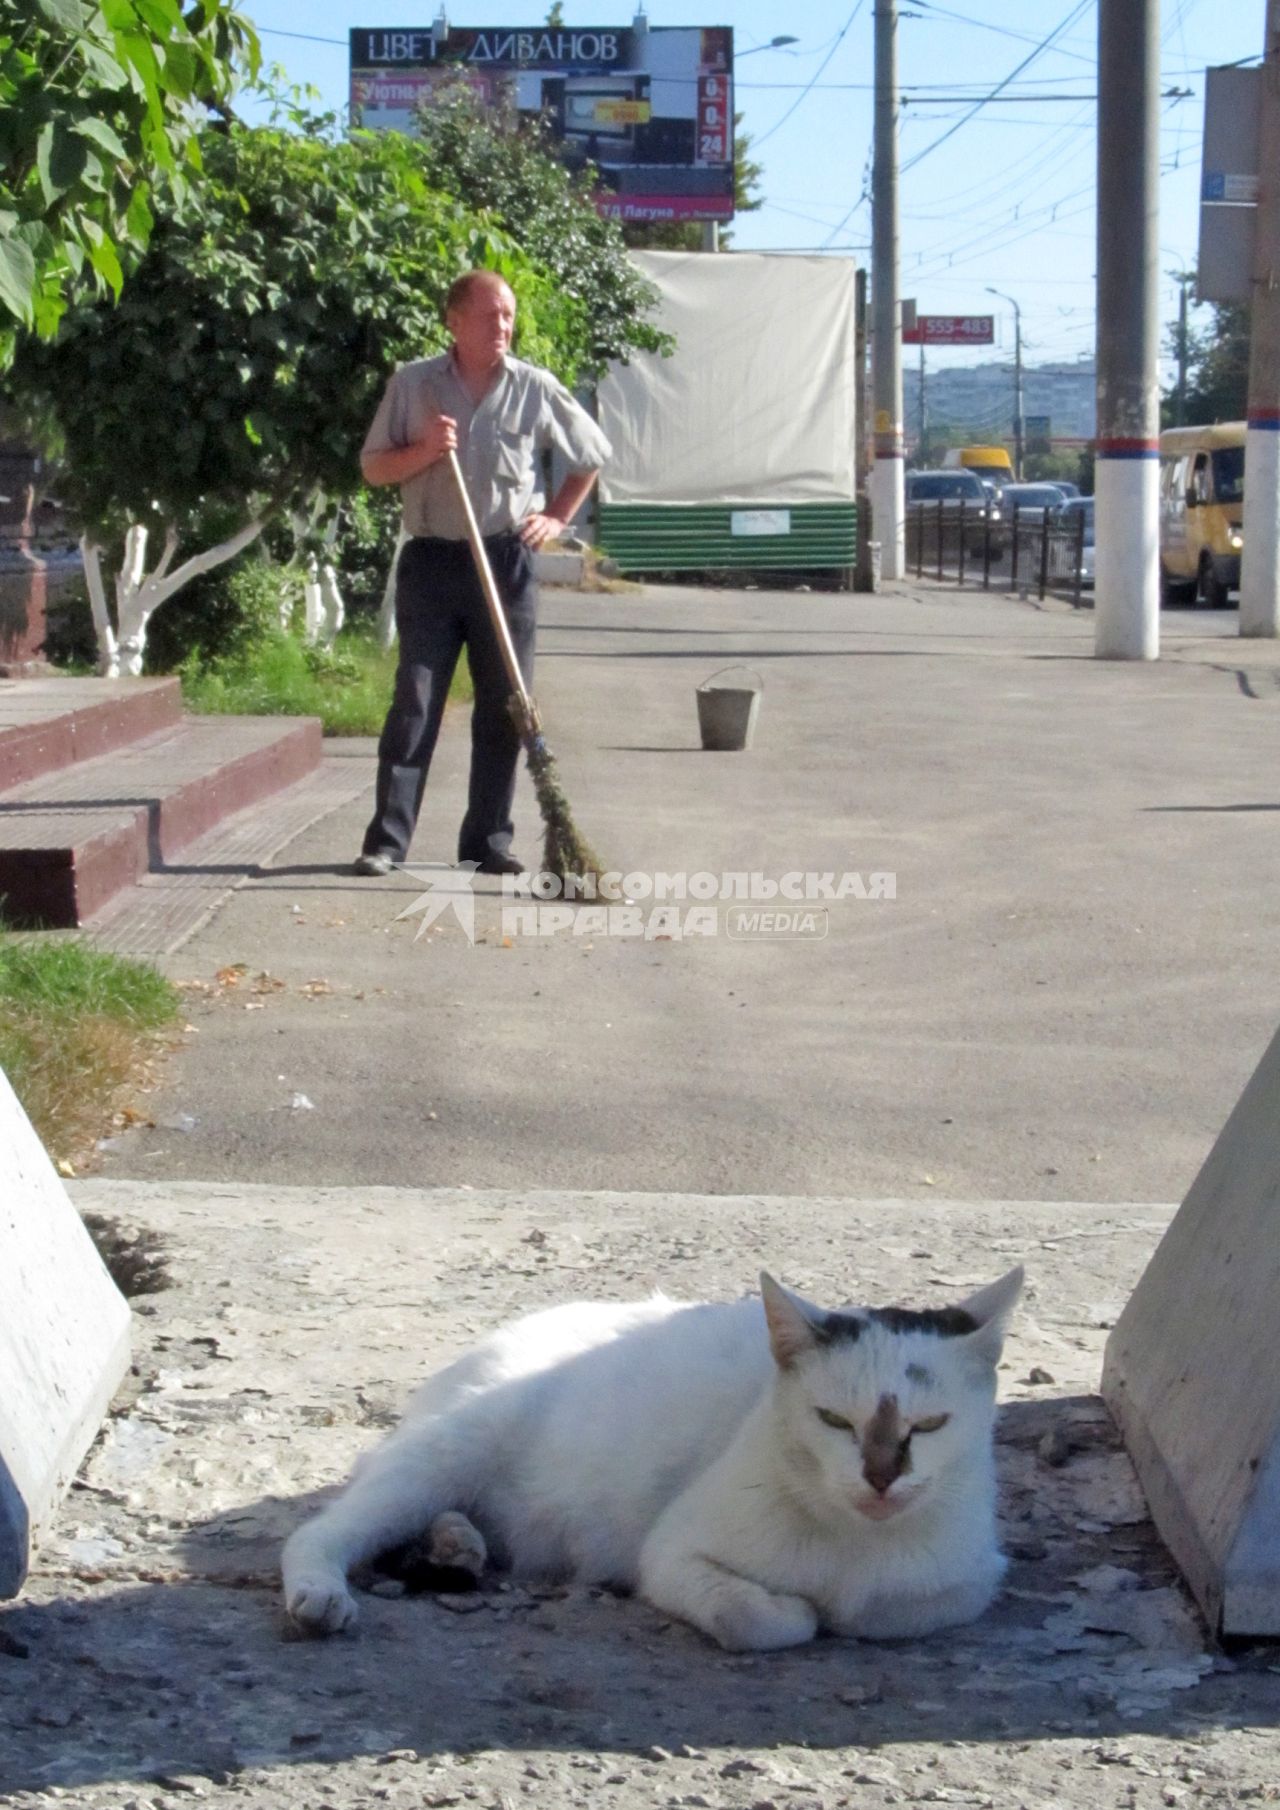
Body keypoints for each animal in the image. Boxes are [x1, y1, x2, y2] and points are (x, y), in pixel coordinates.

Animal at [286, 1267, 1028, 1650]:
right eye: (834, 1421)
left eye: (930, 1424)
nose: (879, 1477)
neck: (853, 1543)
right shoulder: (670, 1553)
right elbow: (762, 1619)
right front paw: (799, 1612)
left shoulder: (969, 1579)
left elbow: (886, 1611)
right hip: (450, 1445)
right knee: (323, 1527)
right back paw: (323, 1591)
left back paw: (455, 1543)